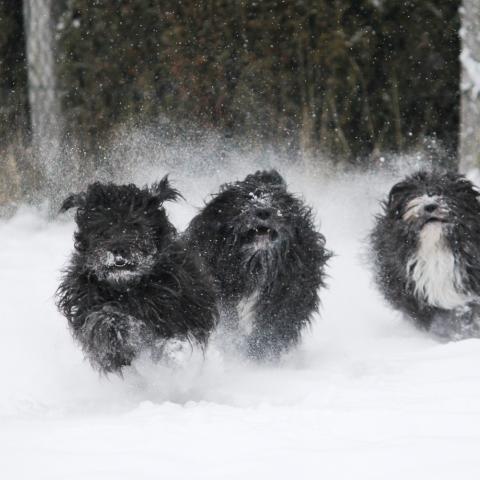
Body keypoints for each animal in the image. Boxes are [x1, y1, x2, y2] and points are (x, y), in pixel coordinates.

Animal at [56, 177, 219, 376]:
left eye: (136, 225)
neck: (126, 288)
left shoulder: (182, 302)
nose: (118, 249)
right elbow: (101, 320)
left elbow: (174, 334)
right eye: (102, 228)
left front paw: (172, 351)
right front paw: (117, 328)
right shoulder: (85, 301)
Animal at [186, 171, 332, 358]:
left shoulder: (286, 295)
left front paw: (257, 356)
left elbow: (270, 328)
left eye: (276, 201)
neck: (256, 264)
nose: (263, 211)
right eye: (246, 198)